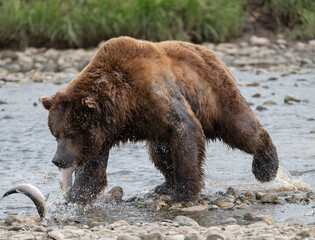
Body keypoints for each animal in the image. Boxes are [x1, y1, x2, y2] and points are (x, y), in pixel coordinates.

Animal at [41, 37, 278, 204]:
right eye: (55, 134)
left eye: (70, 133)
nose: (57, 160)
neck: (124, 107)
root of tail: (208, 51)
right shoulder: (103, 133)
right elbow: (93, 166)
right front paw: (77, 196)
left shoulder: (155, 93)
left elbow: (186, 129)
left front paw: (184, 193)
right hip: (159, 132)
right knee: (160, 153)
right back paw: (165, 185)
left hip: (215, 95)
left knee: (243, 129)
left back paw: (266, 166)